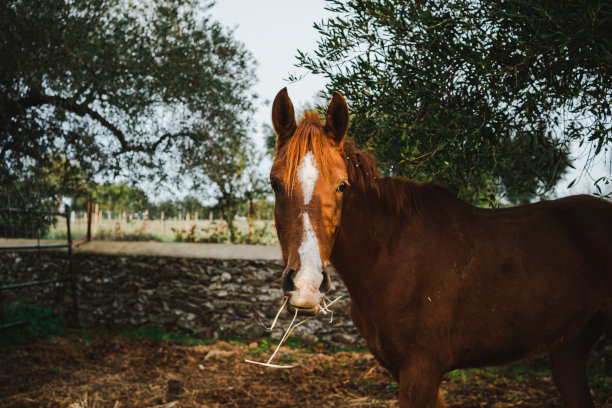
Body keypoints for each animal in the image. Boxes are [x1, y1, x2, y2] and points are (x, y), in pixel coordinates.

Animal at [272, 87, 612, 406]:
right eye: (275, 184)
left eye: (342, 185)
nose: (306, 284)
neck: (392, 254)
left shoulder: (421, 372)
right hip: (570, 348)